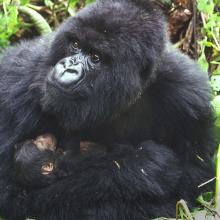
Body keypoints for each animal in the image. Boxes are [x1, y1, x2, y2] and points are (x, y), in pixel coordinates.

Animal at [0, 0, 215, 219]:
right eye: (75, 45)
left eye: (95, 57)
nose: (67, 68)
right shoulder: (18, 82)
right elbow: (13, 194)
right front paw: (146, 166)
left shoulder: (189, 97)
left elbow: (194, 179)